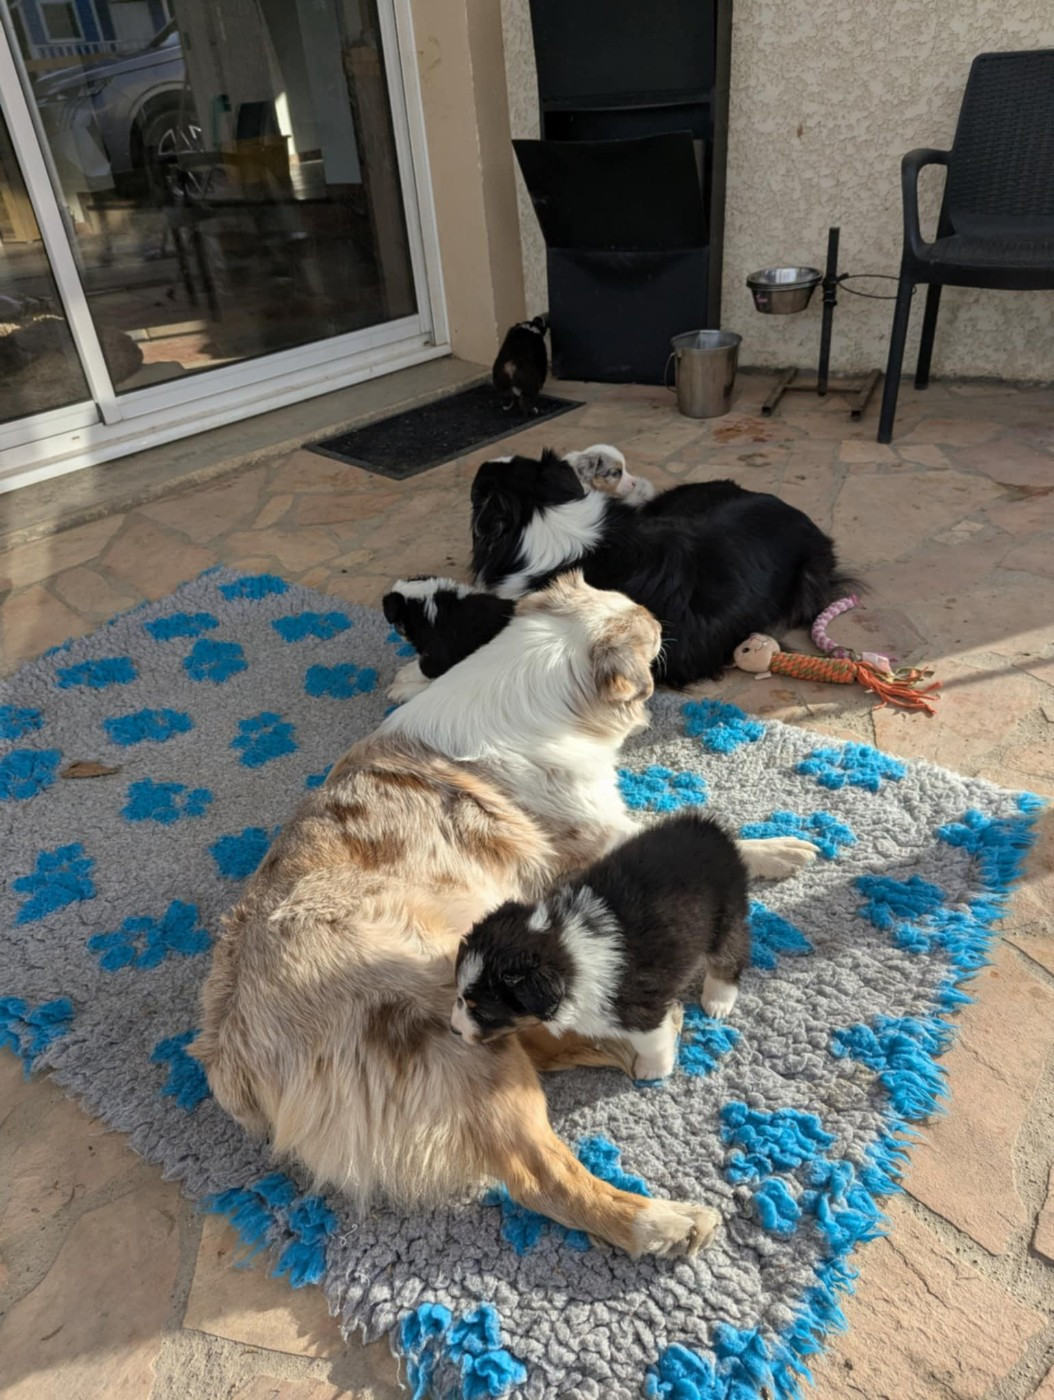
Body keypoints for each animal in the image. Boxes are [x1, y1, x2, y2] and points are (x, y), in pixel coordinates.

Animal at [452, 811, 750, 1082]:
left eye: (484, 1012)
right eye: (461, 999)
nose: (454, 1030)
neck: (563, 948)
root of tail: (708, 829)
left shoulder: (638, 1011)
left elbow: (651, 1042)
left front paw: (653, 1070)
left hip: (725, 915)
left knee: (730, 955)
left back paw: (718, 1001)